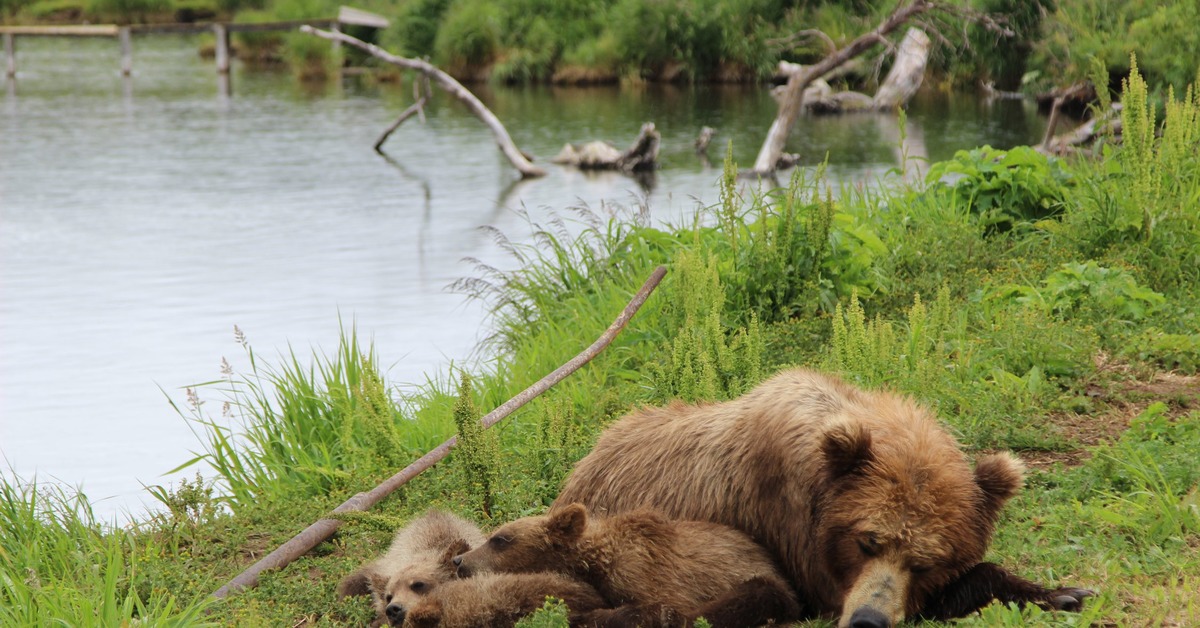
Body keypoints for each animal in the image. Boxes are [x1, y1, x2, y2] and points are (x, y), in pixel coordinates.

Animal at [453, 501, 801, 628]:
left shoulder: (647, 571)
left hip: (756, 577)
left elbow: (665, 607)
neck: (595, 562)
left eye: (500, 539)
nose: (459, 559)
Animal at [549, 369, 1094, 628]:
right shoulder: (789, 528)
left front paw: (1063, 592)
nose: (869, 620)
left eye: (927, 560)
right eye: (867, 540)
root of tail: (586, 457)